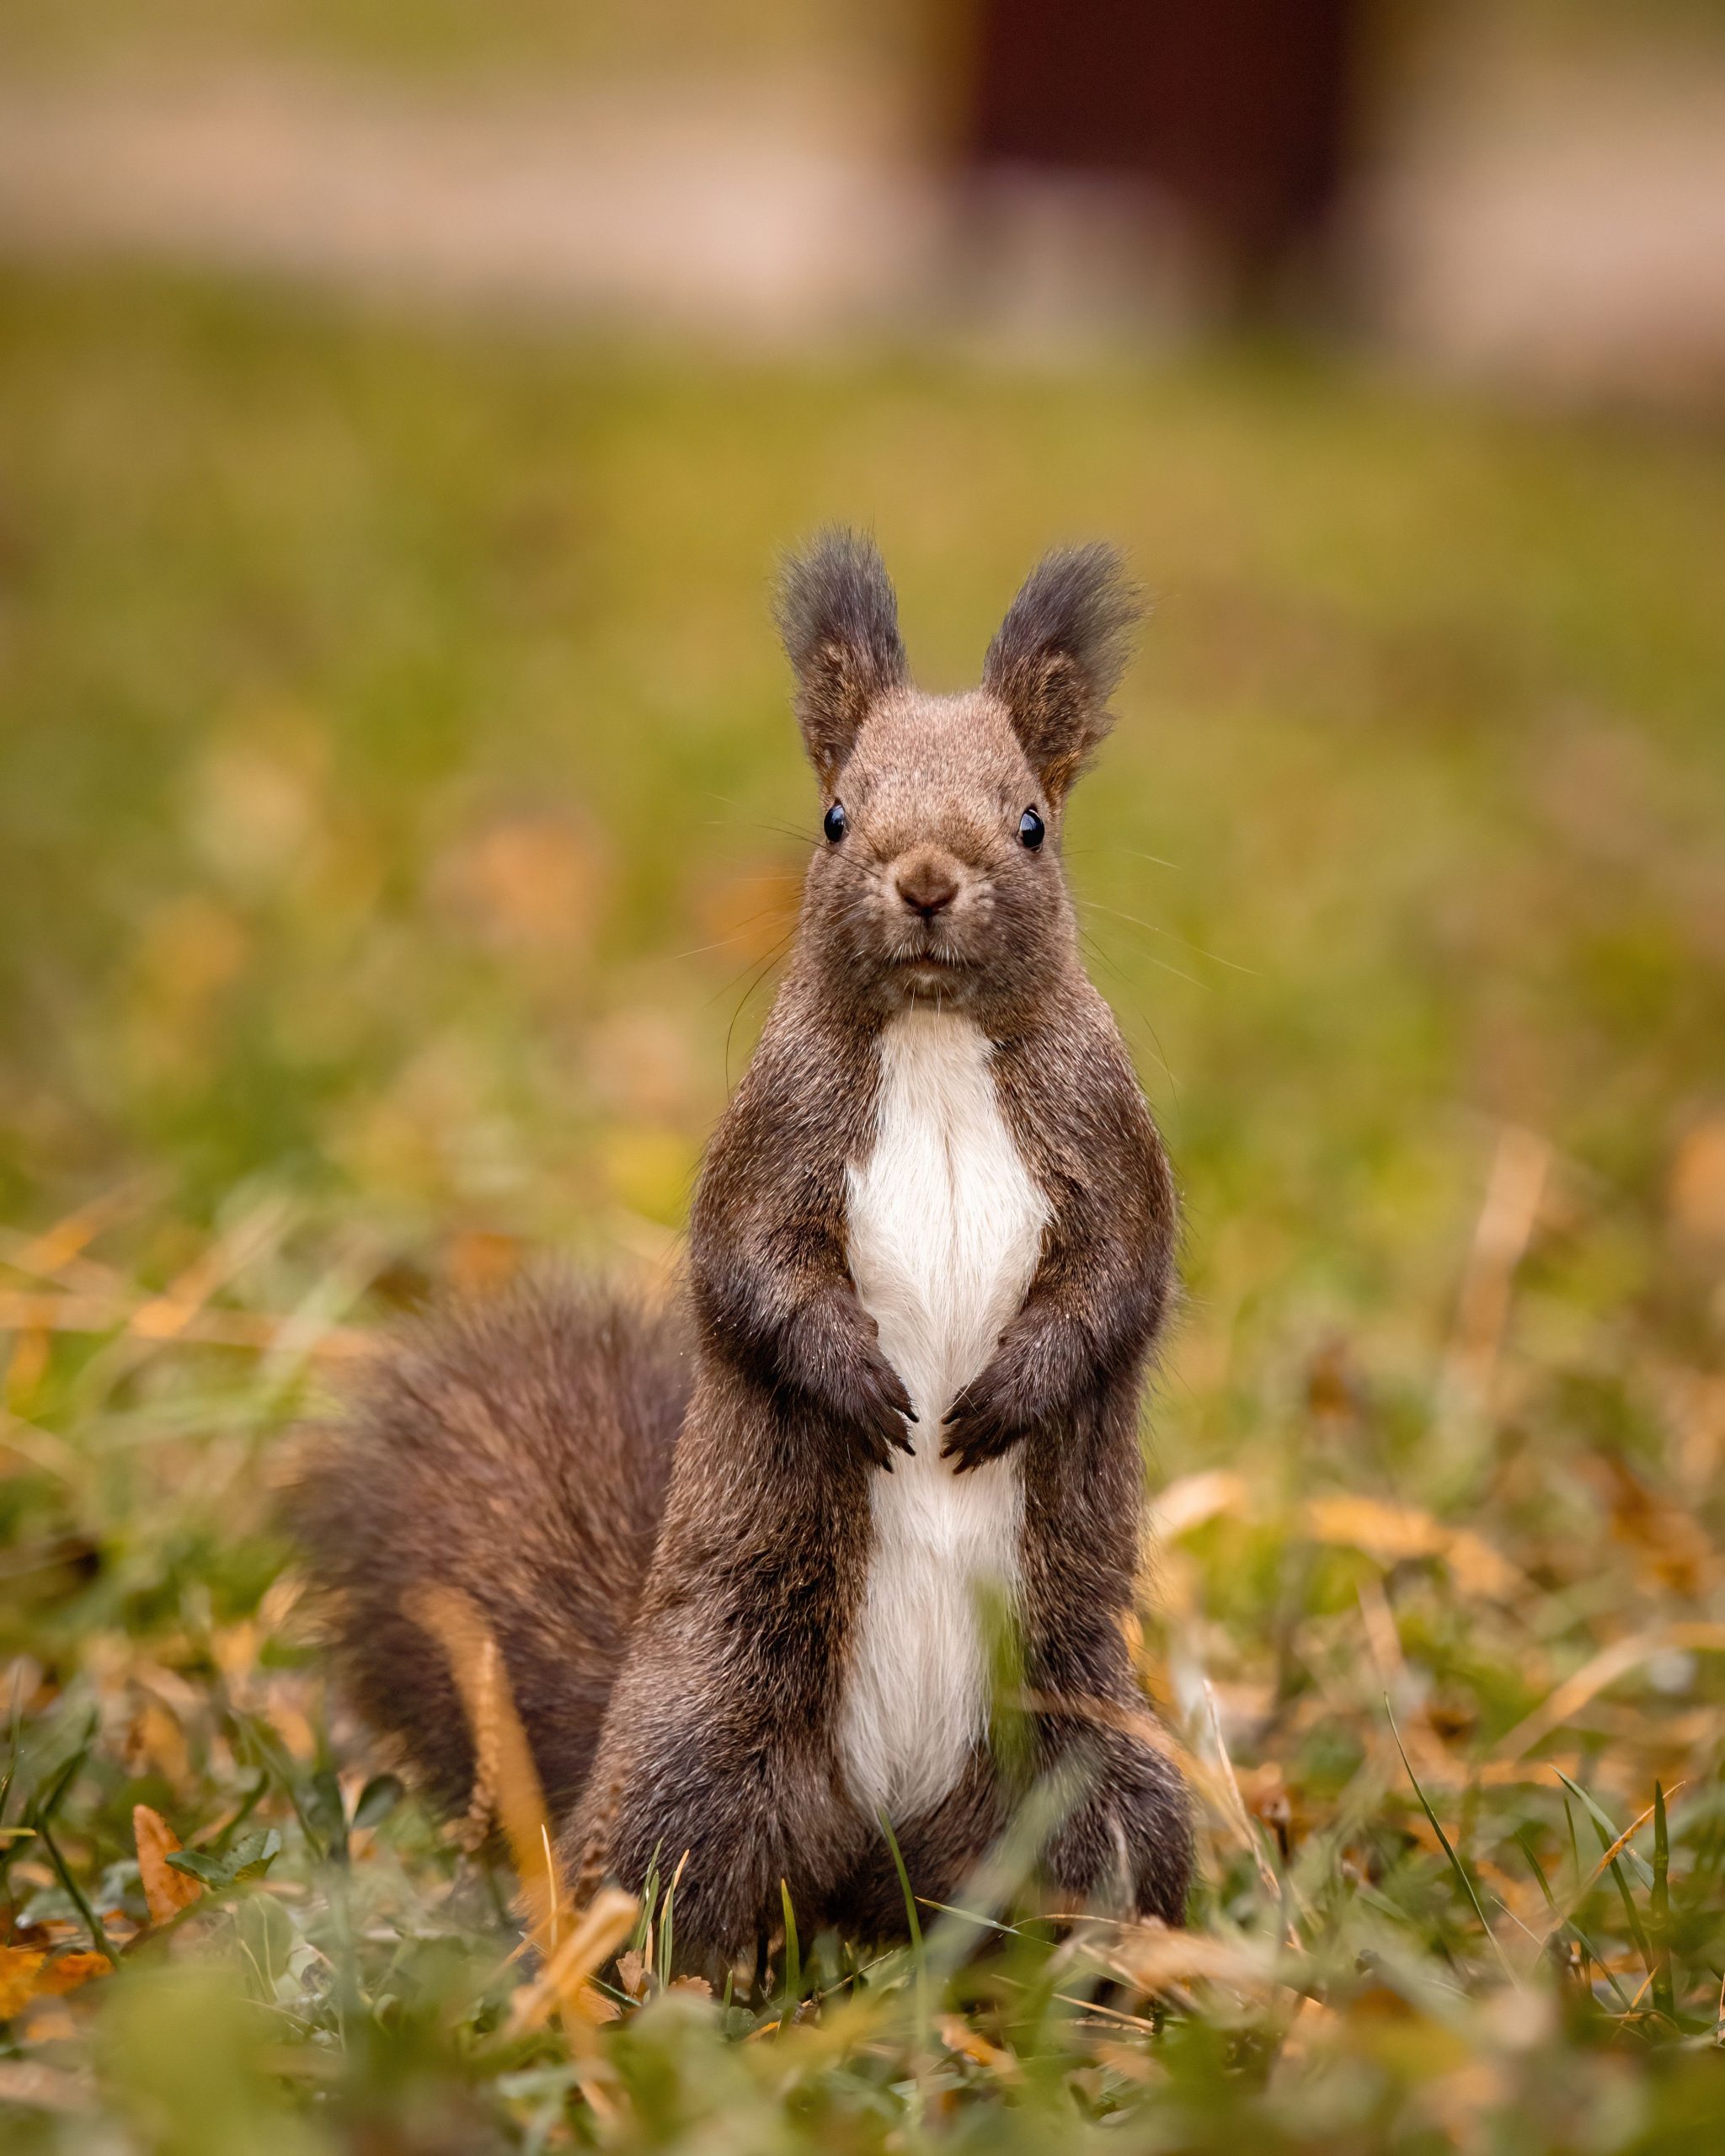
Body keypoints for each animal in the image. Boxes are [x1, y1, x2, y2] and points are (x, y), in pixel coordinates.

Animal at [291, 531, 1192, 1974]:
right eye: (835, 814)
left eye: (1031, 823)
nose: (924, 880)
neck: (935, 1040)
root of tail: (883, 1857)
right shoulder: (772, 1139)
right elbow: (753, 1273)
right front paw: (865, 1390)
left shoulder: (1112, 1146)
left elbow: (1118, 1284)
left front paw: (1005, 1395)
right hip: (705, 1751)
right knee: (668, 1882)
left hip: (1089, 1760)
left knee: (1092, 1869)